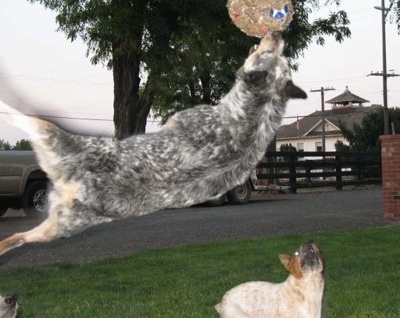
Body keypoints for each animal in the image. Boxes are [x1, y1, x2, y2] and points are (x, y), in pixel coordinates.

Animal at [0, 31, 306, 256]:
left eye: (266, 53)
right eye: (274, 54)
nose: (278, 33)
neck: (254, 113)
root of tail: (79, 186)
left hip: (47, 134)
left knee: (19, 114)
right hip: (57, 226)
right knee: (14, 239)